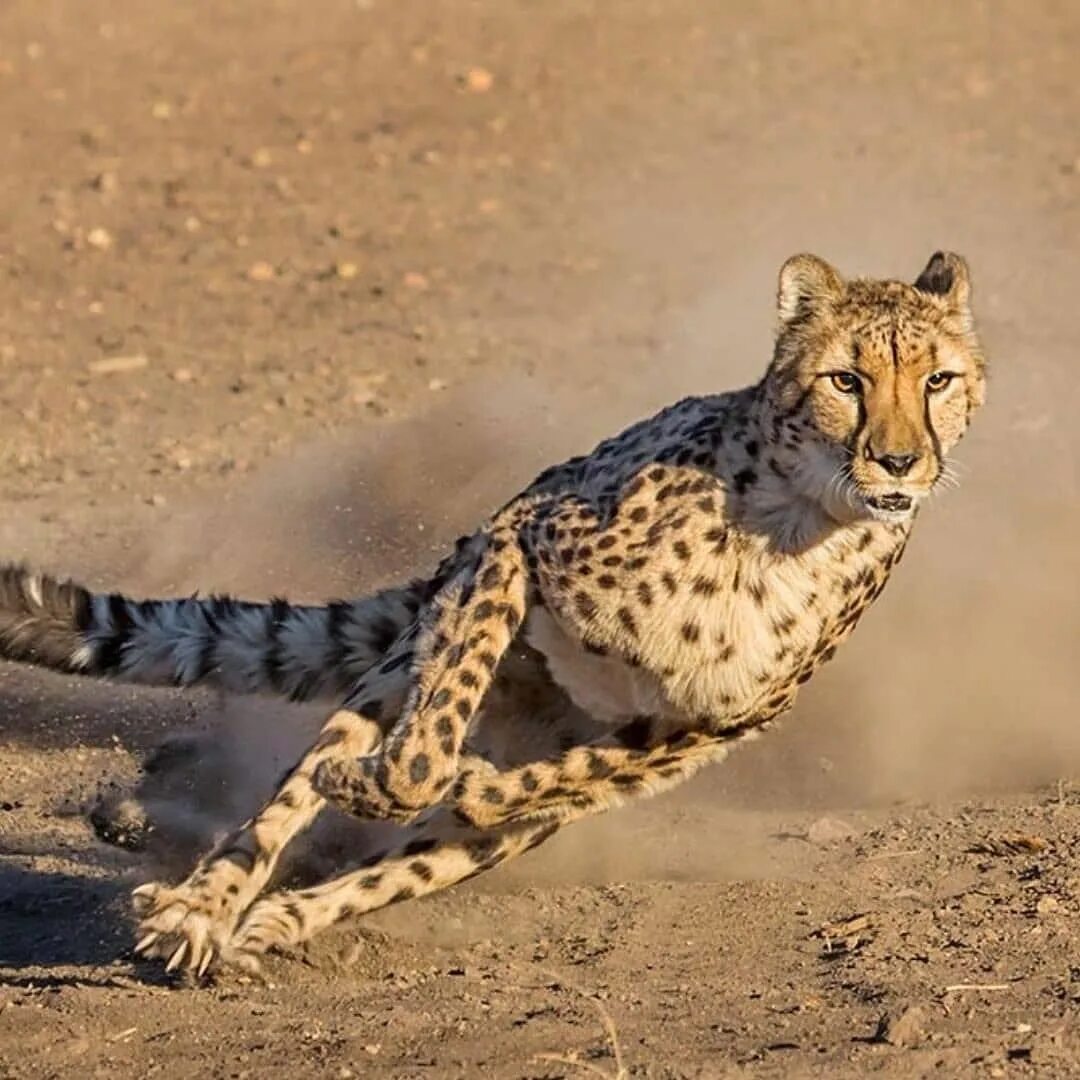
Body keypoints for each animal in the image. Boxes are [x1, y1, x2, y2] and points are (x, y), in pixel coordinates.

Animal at [0, 252, 984, 980]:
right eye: (846, 380)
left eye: (939, 379)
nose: (900, 462)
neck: (796, 525)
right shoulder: (520, 540)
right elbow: (424, 749)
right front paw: (387, 777)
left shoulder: (700, 729)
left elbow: (543, 783)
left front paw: (476, 788)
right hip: (408, 648)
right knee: (285, 805)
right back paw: (204, 908)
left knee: (409, 859)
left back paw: (276, 920)